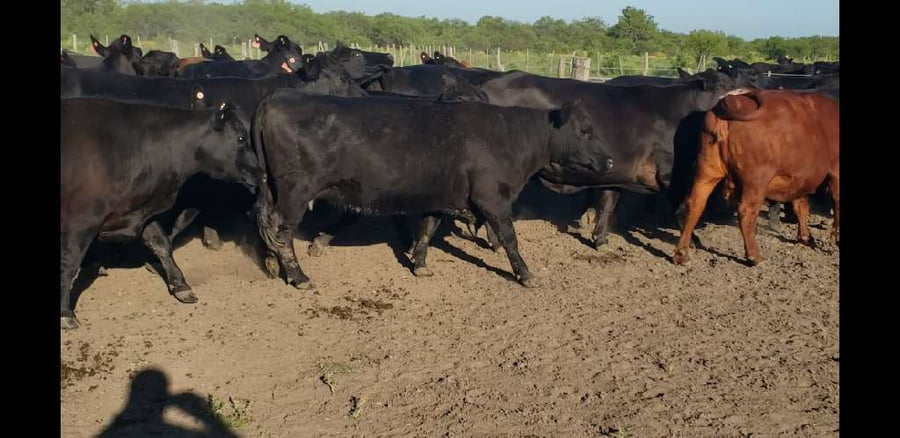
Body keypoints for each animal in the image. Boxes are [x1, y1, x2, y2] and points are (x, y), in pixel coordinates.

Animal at [61, 98, 260, 329]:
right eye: (241, 137)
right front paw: (65, 313)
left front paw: (181, 285)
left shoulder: (142, 213)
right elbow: (70, 264)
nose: (262, 173)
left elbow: (162, 244)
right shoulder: (82, 222)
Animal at [250, 91, 615, 289]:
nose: (610, 160)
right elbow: (510, 238)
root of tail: (279, 97)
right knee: (281, 230)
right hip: (295, 193)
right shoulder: (492, 198)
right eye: (584, 131)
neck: (510, 136)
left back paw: (272, 263)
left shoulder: (441, 197)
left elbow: (427, 228)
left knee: (268, 226)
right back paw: (298, 275)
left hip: (274, 189)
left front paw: (419, 264)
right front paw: (526, 274)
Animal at [672, 89, 839, 266]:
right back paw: (754, 256)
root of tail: (731, 100)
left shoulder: (798, 180)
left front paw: (805, 236)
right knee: (746, 213)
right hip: (756, 181)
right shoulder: (835, 174)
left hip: (707, 171)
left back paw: (682, 253)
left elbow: (801, 207)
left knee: (694, 204)